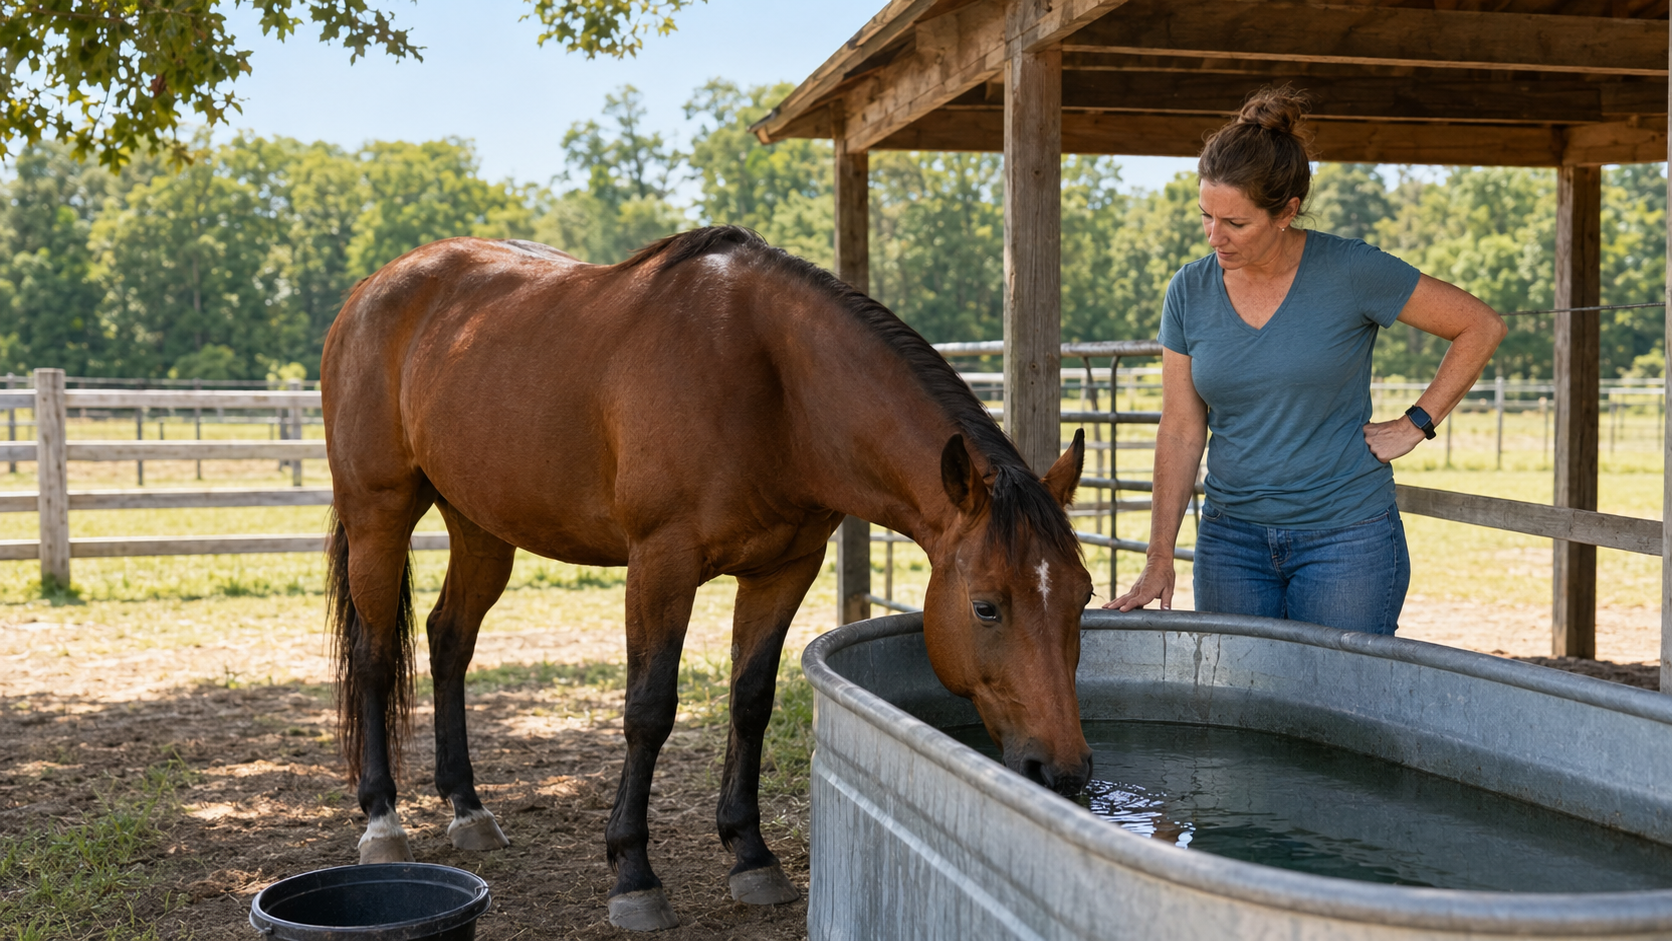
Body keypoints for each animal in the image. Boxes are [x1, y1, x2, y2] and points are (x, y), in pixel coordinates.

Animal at [320, 226, 1094, 931]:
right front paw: (633, 874)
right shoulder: (662, 563)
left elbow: (751, 700)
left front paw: (751, 857)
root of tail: (371, 290)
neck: (772, 384)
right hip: (378, 514)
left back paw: (469, 809)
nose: (1064, 772)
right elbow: (648, 709)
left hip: (481, 527)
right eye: (987, 606)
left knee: (448, 640)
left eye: (1082, 597)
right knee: (376, 656)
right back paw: (383, 821)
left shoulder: (784, 569)